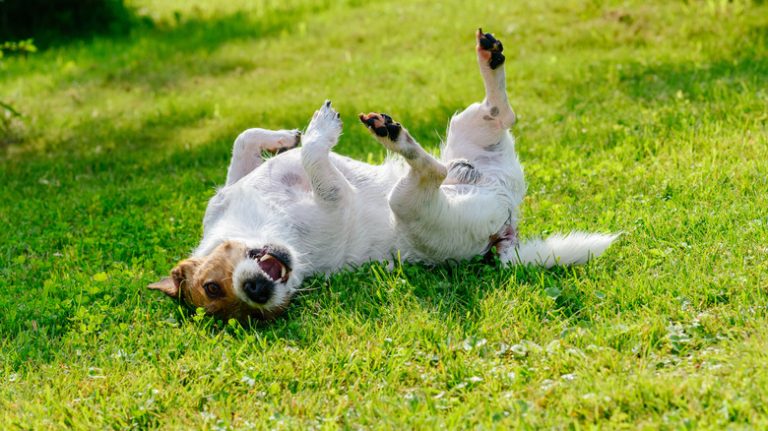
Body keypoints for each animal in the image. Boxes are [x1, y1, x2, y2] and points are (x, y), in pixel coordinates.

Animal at [148, 29, 616, 320]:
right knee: (434, 169)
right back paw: (395, 137)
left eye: (211, 286)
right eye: (246, 313)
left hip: (468, 125)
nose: (258, 294)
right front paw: (317, 132)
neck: (260, 225)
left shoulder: (230, 190)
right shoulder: (334, 199)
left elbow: (244, 141)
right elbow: (314, 158)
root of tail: (507, 227)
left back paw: (488, 57)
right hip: (410, 203)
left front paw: (286, 137)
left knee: (500, 112)